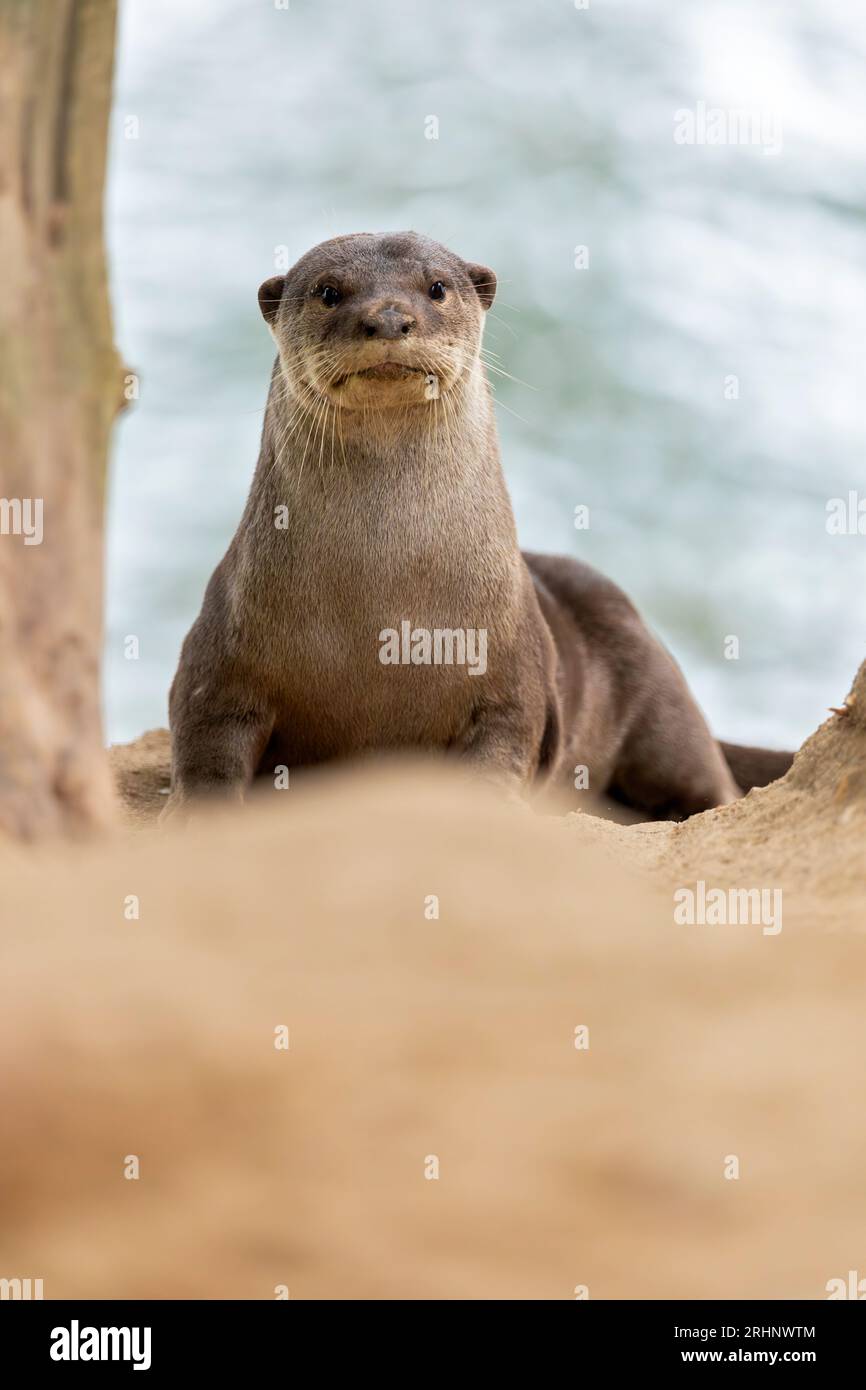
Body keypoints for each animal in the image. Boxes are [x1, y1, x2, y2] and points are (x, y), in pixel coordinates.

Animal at [162, 232, 795, 817]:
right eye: (328, 292)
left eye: (437, 287)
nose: (387, 318)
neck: (384, 607)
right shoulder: (218, 657)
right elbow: (205, 745)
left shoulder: (515, 678)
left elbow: (504, 748)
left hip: (662, 702)